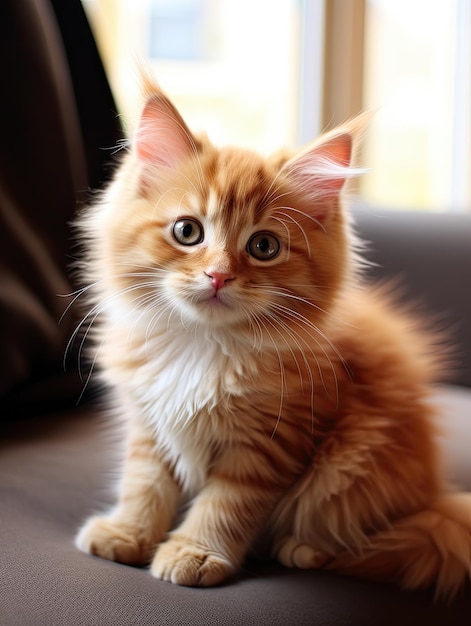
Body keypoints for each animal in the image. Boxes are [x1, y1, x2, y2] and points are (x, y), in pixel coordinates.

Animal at [75, 81, 471, 596]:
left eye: (264, 247)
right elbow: (144, 483)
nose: (218, 275)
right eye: (187, 231)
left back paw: (304, 548)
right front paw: (128, 532)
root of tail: (434, 495)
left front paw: (195, 551)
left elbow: (226, 505)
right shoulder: (148, 423)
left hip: (358, 458)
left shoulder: (271, 442)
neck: (204, 344)